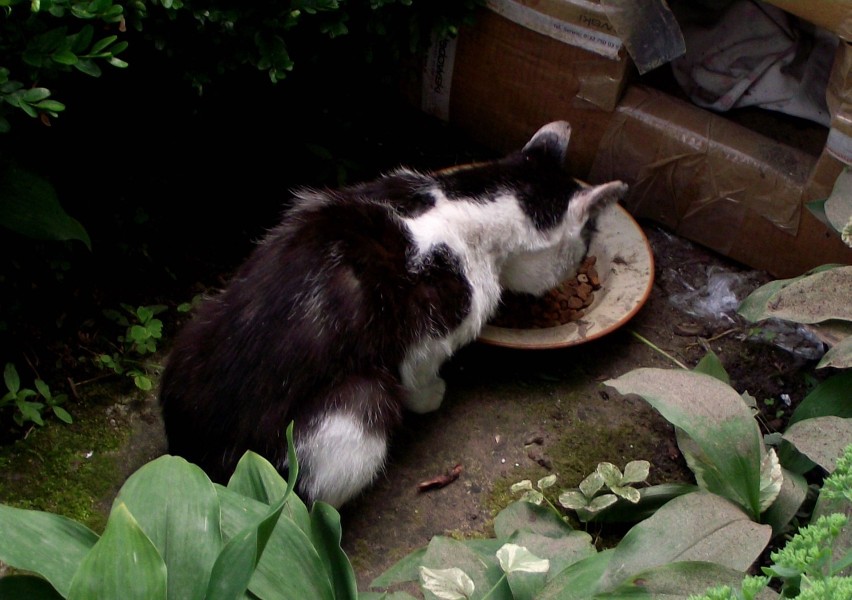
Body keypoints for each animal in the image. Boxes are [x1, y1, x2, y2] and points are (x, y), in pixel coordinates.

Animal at [158, 122, 624, 506]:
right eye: (585, 239)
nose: (577, 264)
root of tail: (200, 461)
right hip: (358, 407)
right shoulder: (429, 332)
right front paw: (432, 396)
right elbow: (419, 374)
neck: (459, 203)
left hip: (203, 316)